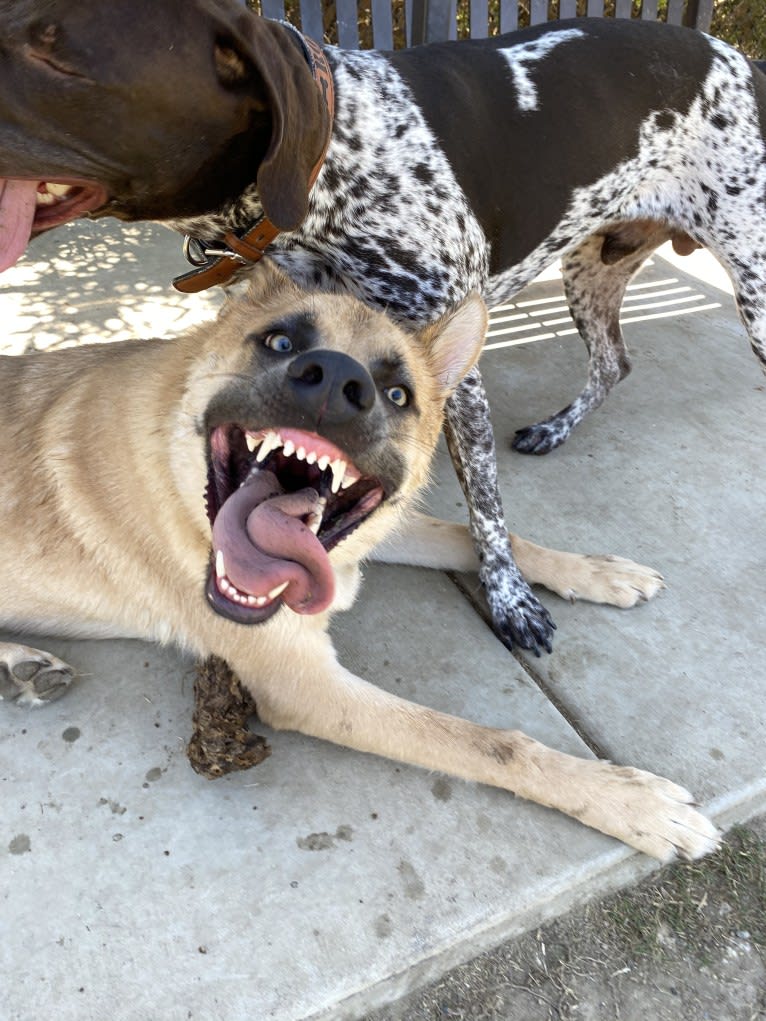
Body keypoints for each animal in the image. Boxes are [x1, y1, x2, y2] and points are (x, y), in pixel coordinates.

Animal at [0, 3, 763, 649]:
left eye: (56, 54)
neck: (329, 166)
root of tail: (742, 59)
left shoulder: (454, 370)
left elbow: (486, 505)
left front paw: (509, 597)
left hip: (752, 287)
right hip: (592, 268)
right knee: (613, 362)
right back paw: (556, 428)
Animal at [0, 263, 719, 861]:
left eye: (398, 393)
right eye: (279, 343)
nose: (333, 382)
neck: (179, 471)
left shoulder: (370, 533)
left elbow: (479, 535)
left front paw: (594, 571)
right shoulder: (305, 685)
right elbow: (487, 741)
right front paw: (627, 801)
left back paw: (21, 670)